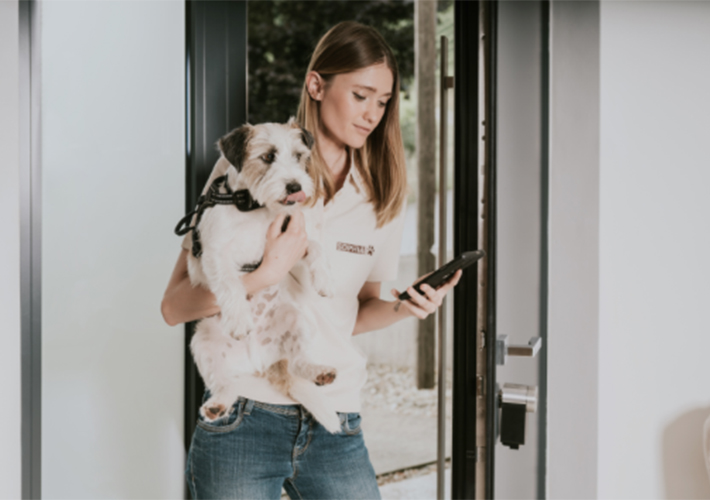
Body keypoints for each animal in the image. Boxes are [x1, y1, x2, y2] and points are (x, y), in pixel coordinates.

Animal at [181, 118, 342, 434]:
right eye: (268, 156)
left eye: (299, 156)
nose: (295, 186)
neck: (254, 207)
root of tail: (259, 362)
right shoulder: (215, 253)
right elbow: (230, 283)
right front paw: (240, 319)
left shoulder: (296, 238)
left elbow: (317, 246)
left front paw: (326, 280)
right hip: (203, 342)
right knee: (225, 384)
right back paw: (217, 405)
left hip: (295, 320)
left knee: (297, 362)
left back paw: (319, 371)